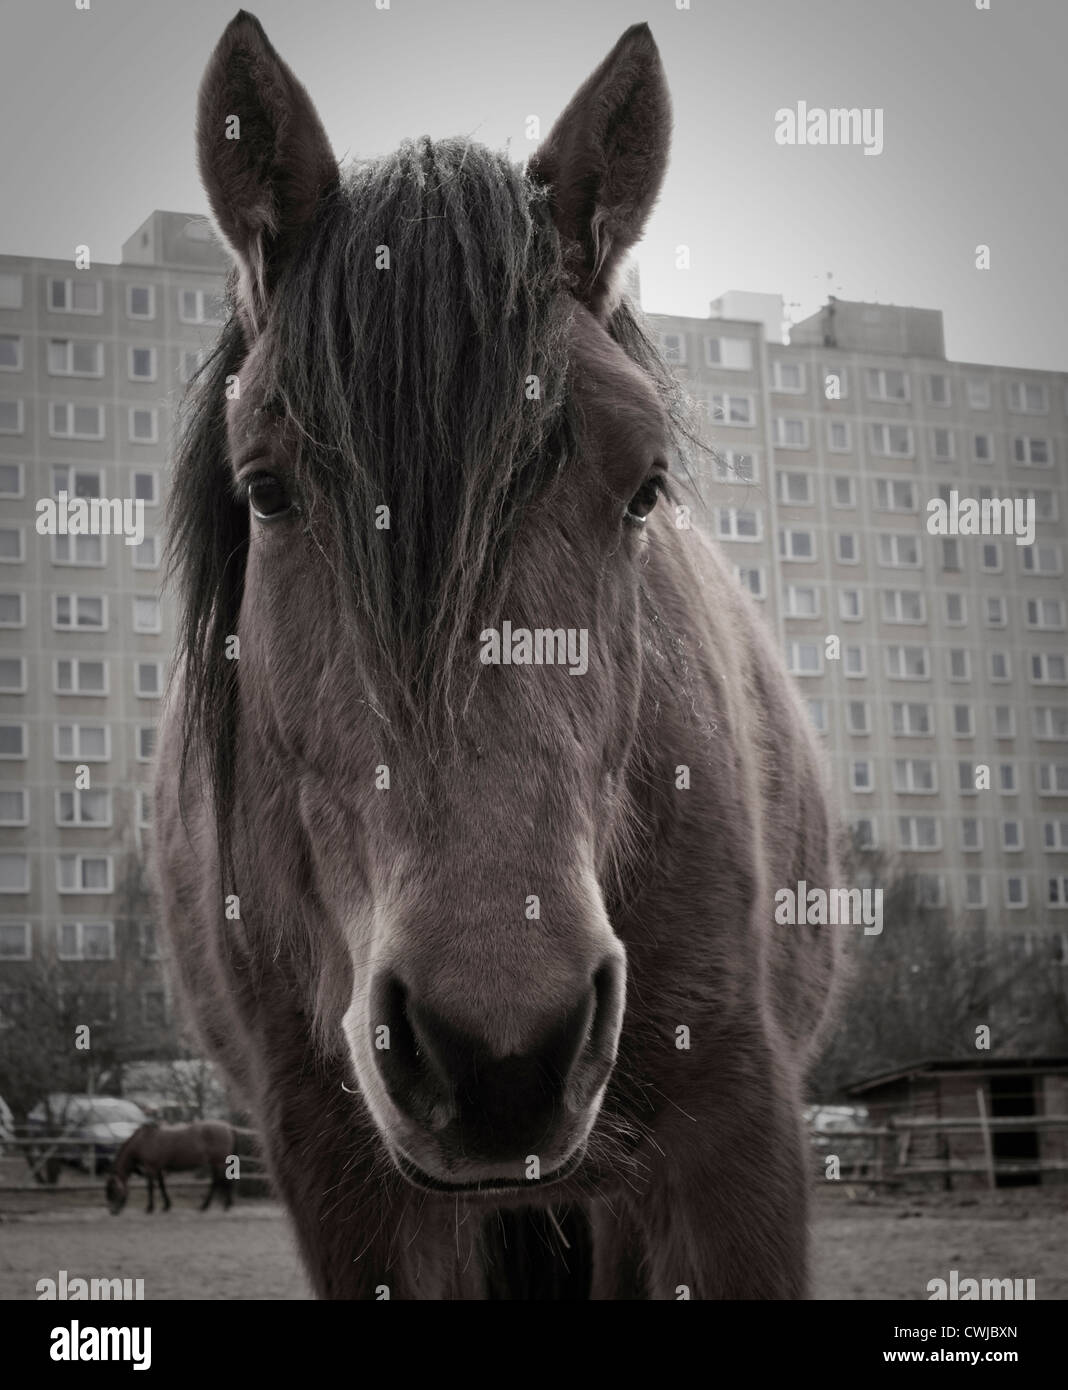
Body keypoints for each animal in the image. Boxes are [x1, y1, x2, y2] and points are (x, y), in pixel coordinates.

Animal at [106, 1121, 235, 1215]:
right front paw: (166, 1205)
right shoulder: (158, 1168)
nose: (112, 1211)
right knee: (217, 1181)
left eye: (113, 1191)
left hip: (219, 1162)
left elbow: (150, 1187)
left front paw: (149, 1207)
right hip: (216, 1163)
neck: (143, 1141)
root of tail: (227, 1128)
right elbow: (162, 1186)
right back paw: (213, 1205)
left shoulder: (151, 1168)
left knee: (221, 1181)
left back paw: (219, 1205)